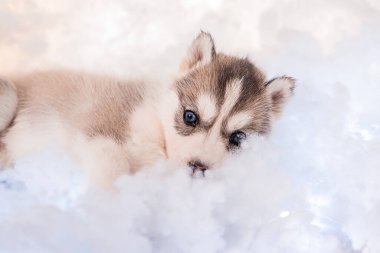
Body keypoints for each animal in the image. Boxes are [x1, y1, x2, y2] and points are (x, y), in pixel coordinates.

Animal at [0, 32, 296, 186]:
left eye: (238, 138)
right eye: (190, 116)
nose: (198, 166)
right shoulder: (98, 127)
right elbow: (114, 161)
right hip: (9, 96)